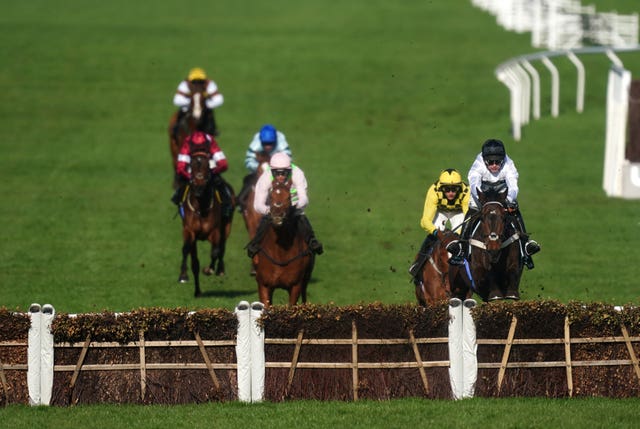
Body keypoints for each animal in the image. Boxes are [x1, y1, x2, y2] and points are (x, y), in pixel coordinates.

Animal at [178, 152, 235, 296]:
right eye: (192, 167)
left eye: (207, 167)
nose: (199, 188)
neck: (201, 208)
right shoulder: (189, 232)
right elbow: (188, 253)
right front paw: (183, 276)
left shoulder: (215, 231)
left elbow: (215, 251)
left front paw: (209, 269)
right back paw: (197, 291)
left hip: (227, 226)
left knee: (222, 247)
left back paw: (220, 269)